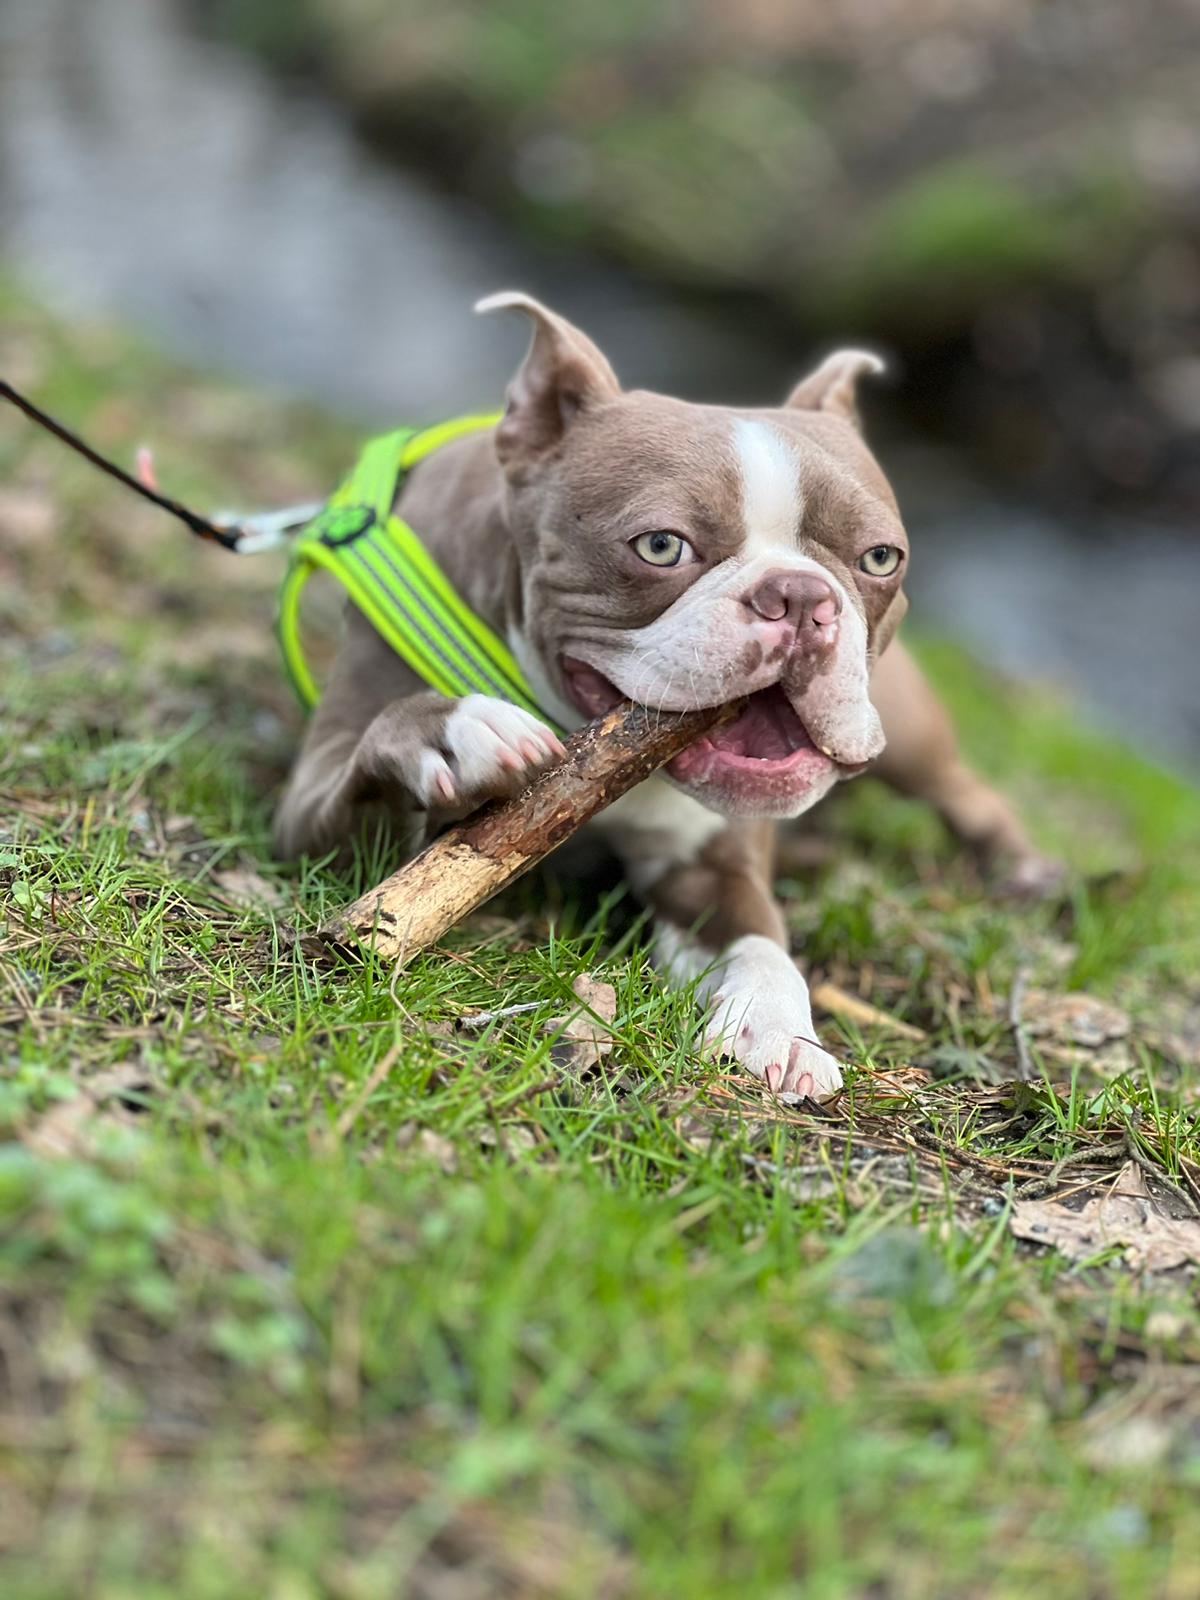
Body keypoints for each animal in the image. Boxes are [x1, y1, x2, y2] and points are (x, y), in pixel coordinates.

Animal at [276, 294, 1056, 1100]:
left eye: (880, 558)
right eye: (660, 546)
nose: (801, 595)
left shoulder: (711, 867)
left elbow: (761, 940)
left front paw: (782, 1029)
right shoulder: (310, 808)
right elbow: (376, 764)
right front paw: (453, 734)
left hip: (902, 725)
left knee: (962, 788)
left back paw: (1020, 867)